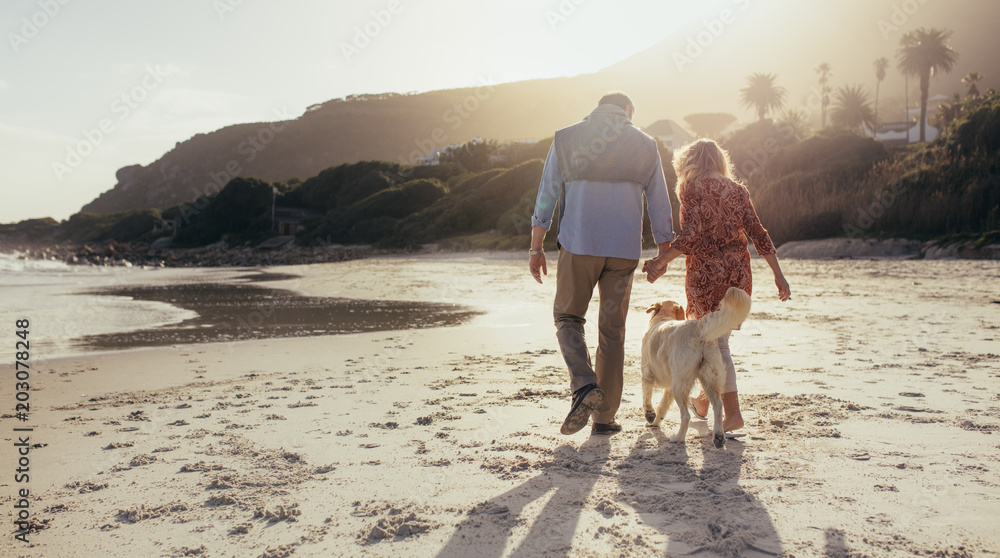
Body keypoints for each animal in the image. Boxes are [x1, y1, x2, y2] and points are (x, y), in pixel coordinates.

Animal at [640, 288, 752, 450]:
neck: (663, 318)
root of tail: (698, 327)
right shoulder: (669, 387)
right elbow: (662, 406)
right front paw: (655, 424)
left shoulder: (646, 374)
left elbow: (646, 398)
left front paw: (650, 416)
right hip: (710, 377)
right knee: (718, 406)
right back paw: (718, 437)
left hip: (680, 383)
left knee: (686, 415)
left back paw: (678, 438)